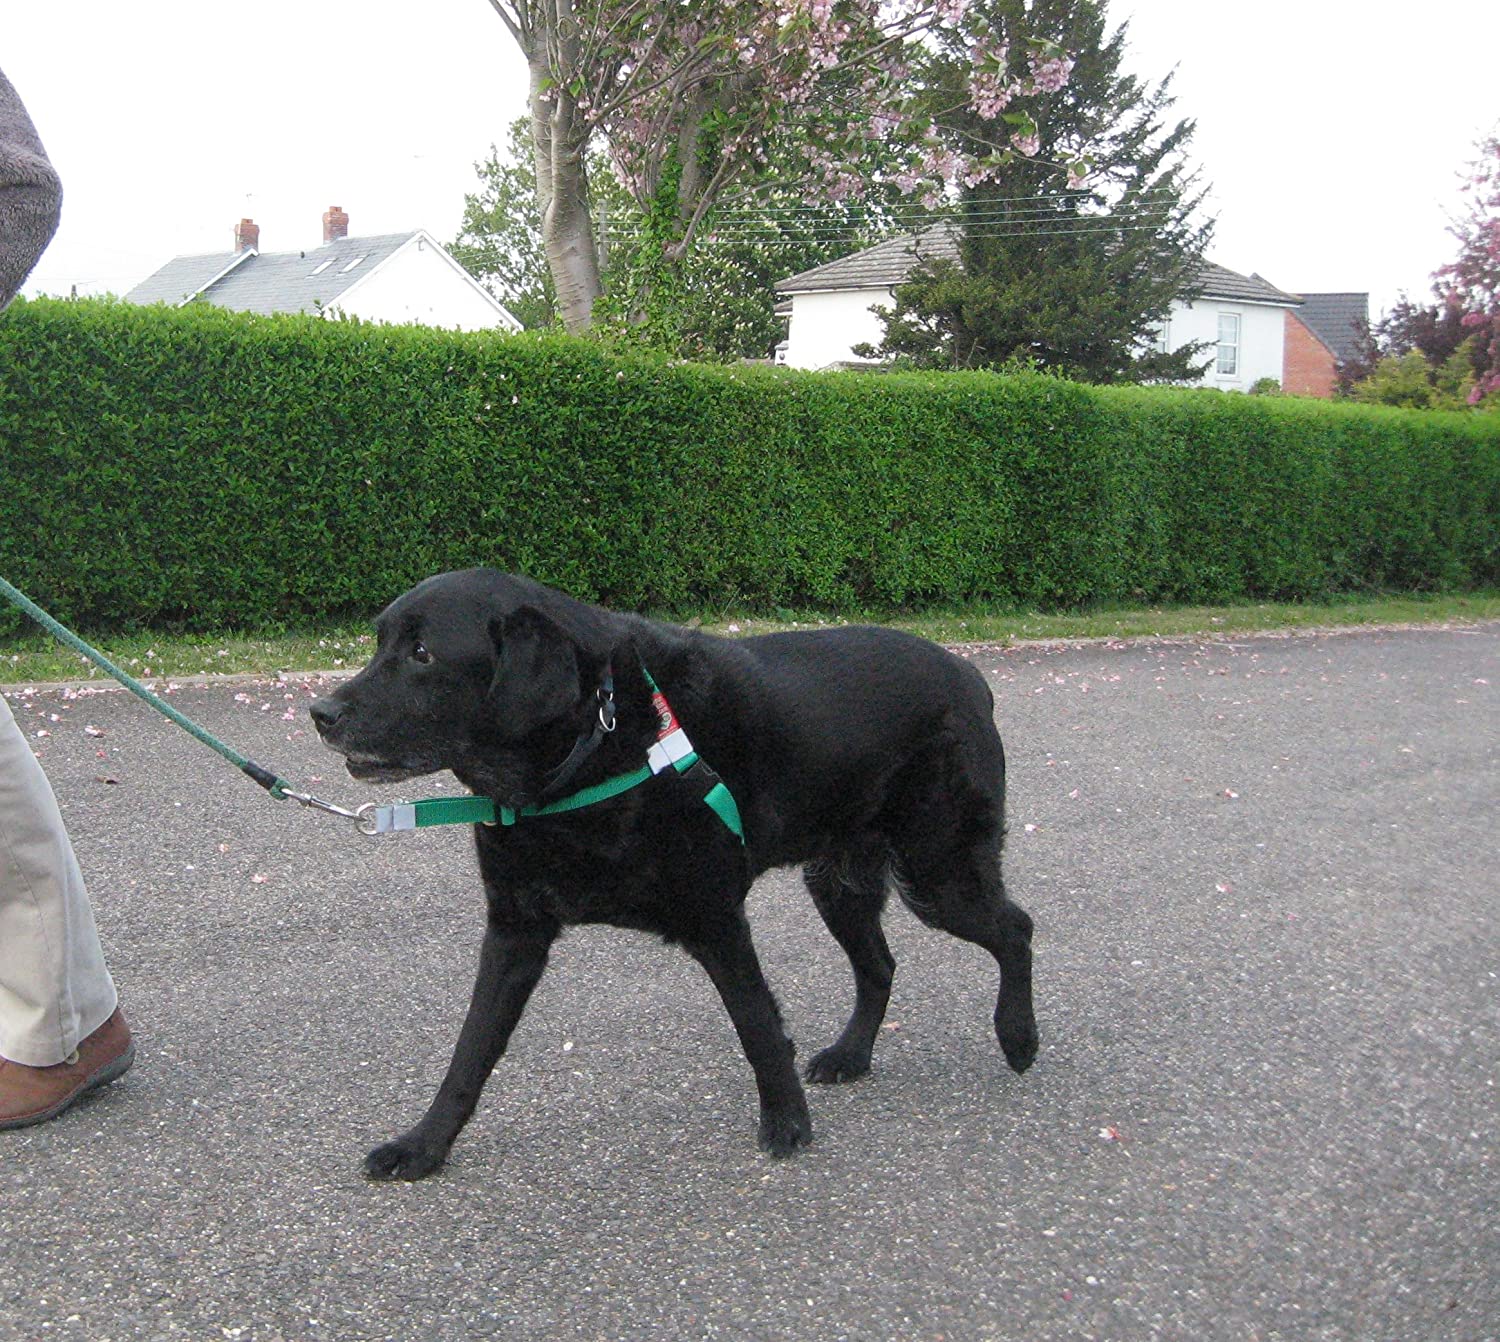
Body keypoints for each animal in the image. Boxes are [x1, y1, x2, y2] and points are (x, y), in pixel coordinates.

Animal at [304, 572, 1032, 1181]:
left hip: (939, 873)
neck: (593, 750)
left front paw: (787, 1122)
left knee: (1015, 928)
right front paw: (423, 1146)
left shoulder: (715, 919)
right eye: (380, 643)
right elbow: (470, 1052)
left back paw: (1019, 1036)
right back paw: (851, 1055)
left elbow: (758, 1026)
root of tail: (969, 673)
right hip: (840, 883)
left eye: (422, 653)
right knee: (881, 964)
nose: (321, 714)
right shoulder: (514, 931)